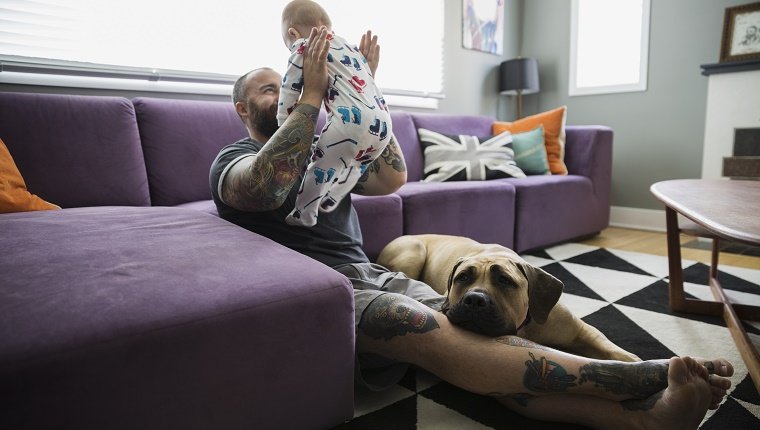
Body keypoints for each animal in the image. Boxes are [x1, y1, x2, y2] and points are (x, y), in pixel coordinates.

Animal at [378, 233, 640, 362]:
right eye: (463, 277)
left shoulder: (581, 331)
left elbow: (613, 350)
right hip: (415, 250)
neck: (526, 326)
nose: (475, 300)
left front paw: (635, 363)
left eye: (505, 280)